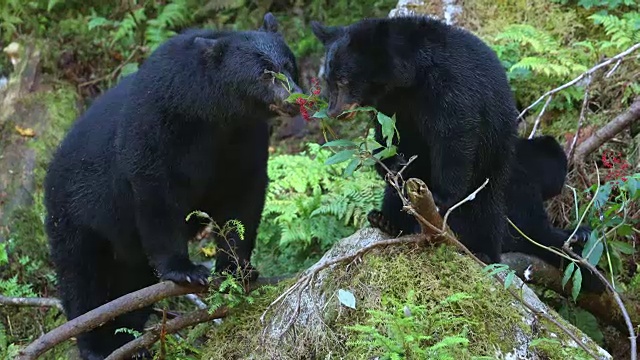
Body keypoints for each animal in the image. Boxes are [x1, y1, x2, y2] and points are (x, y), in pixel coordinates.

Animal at [45, 13, 300, 360]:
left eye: (290, 64)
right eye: (264, 74)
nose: (296, 98)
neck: (211, 113)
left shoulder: (243, 138)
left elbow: (243, 196)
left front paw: (236, 268)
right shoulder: (157, 127)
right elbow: (158, 197)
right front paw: (186, 269)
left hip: (126, 251)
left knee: (132, 283)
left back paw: (130, 342)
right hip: (75, 215)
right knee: (82, 281)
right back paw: (98, 346)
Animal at [312, 15, 520, 262]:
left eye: (343, 80)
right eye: (328, 80)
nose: (333, 112)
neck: (409, 79)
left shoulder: (450, 87)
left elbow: (454, 136)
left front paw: (441, 198)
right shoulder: (392, 107)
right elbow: (387, 137)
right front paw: (392, 164)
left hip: (497, 147)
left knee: (486, 205)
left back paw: (484, 252)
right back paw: (386, 220)